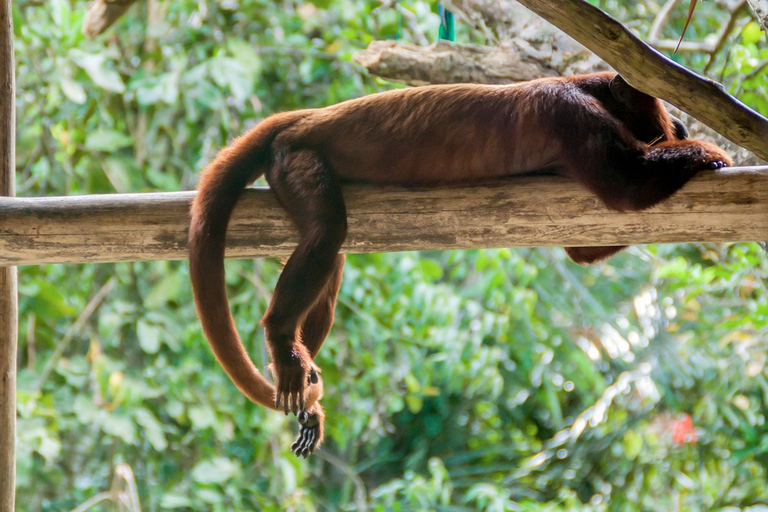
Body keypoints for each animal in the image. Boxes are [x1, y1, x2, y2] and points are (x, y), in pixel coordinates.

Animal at [188, 71, 732, 456]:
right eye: (659, 112)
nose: (677, 124)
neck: (586, 85)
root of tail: (299, 119)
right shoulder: (571, 113)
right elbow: (626, 185)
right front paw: (709, 151)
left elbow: (580, 247)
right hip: (295, 159)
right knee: (327, 233)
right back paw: (282, 337)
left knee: (332, 258)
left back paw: (305, 391)